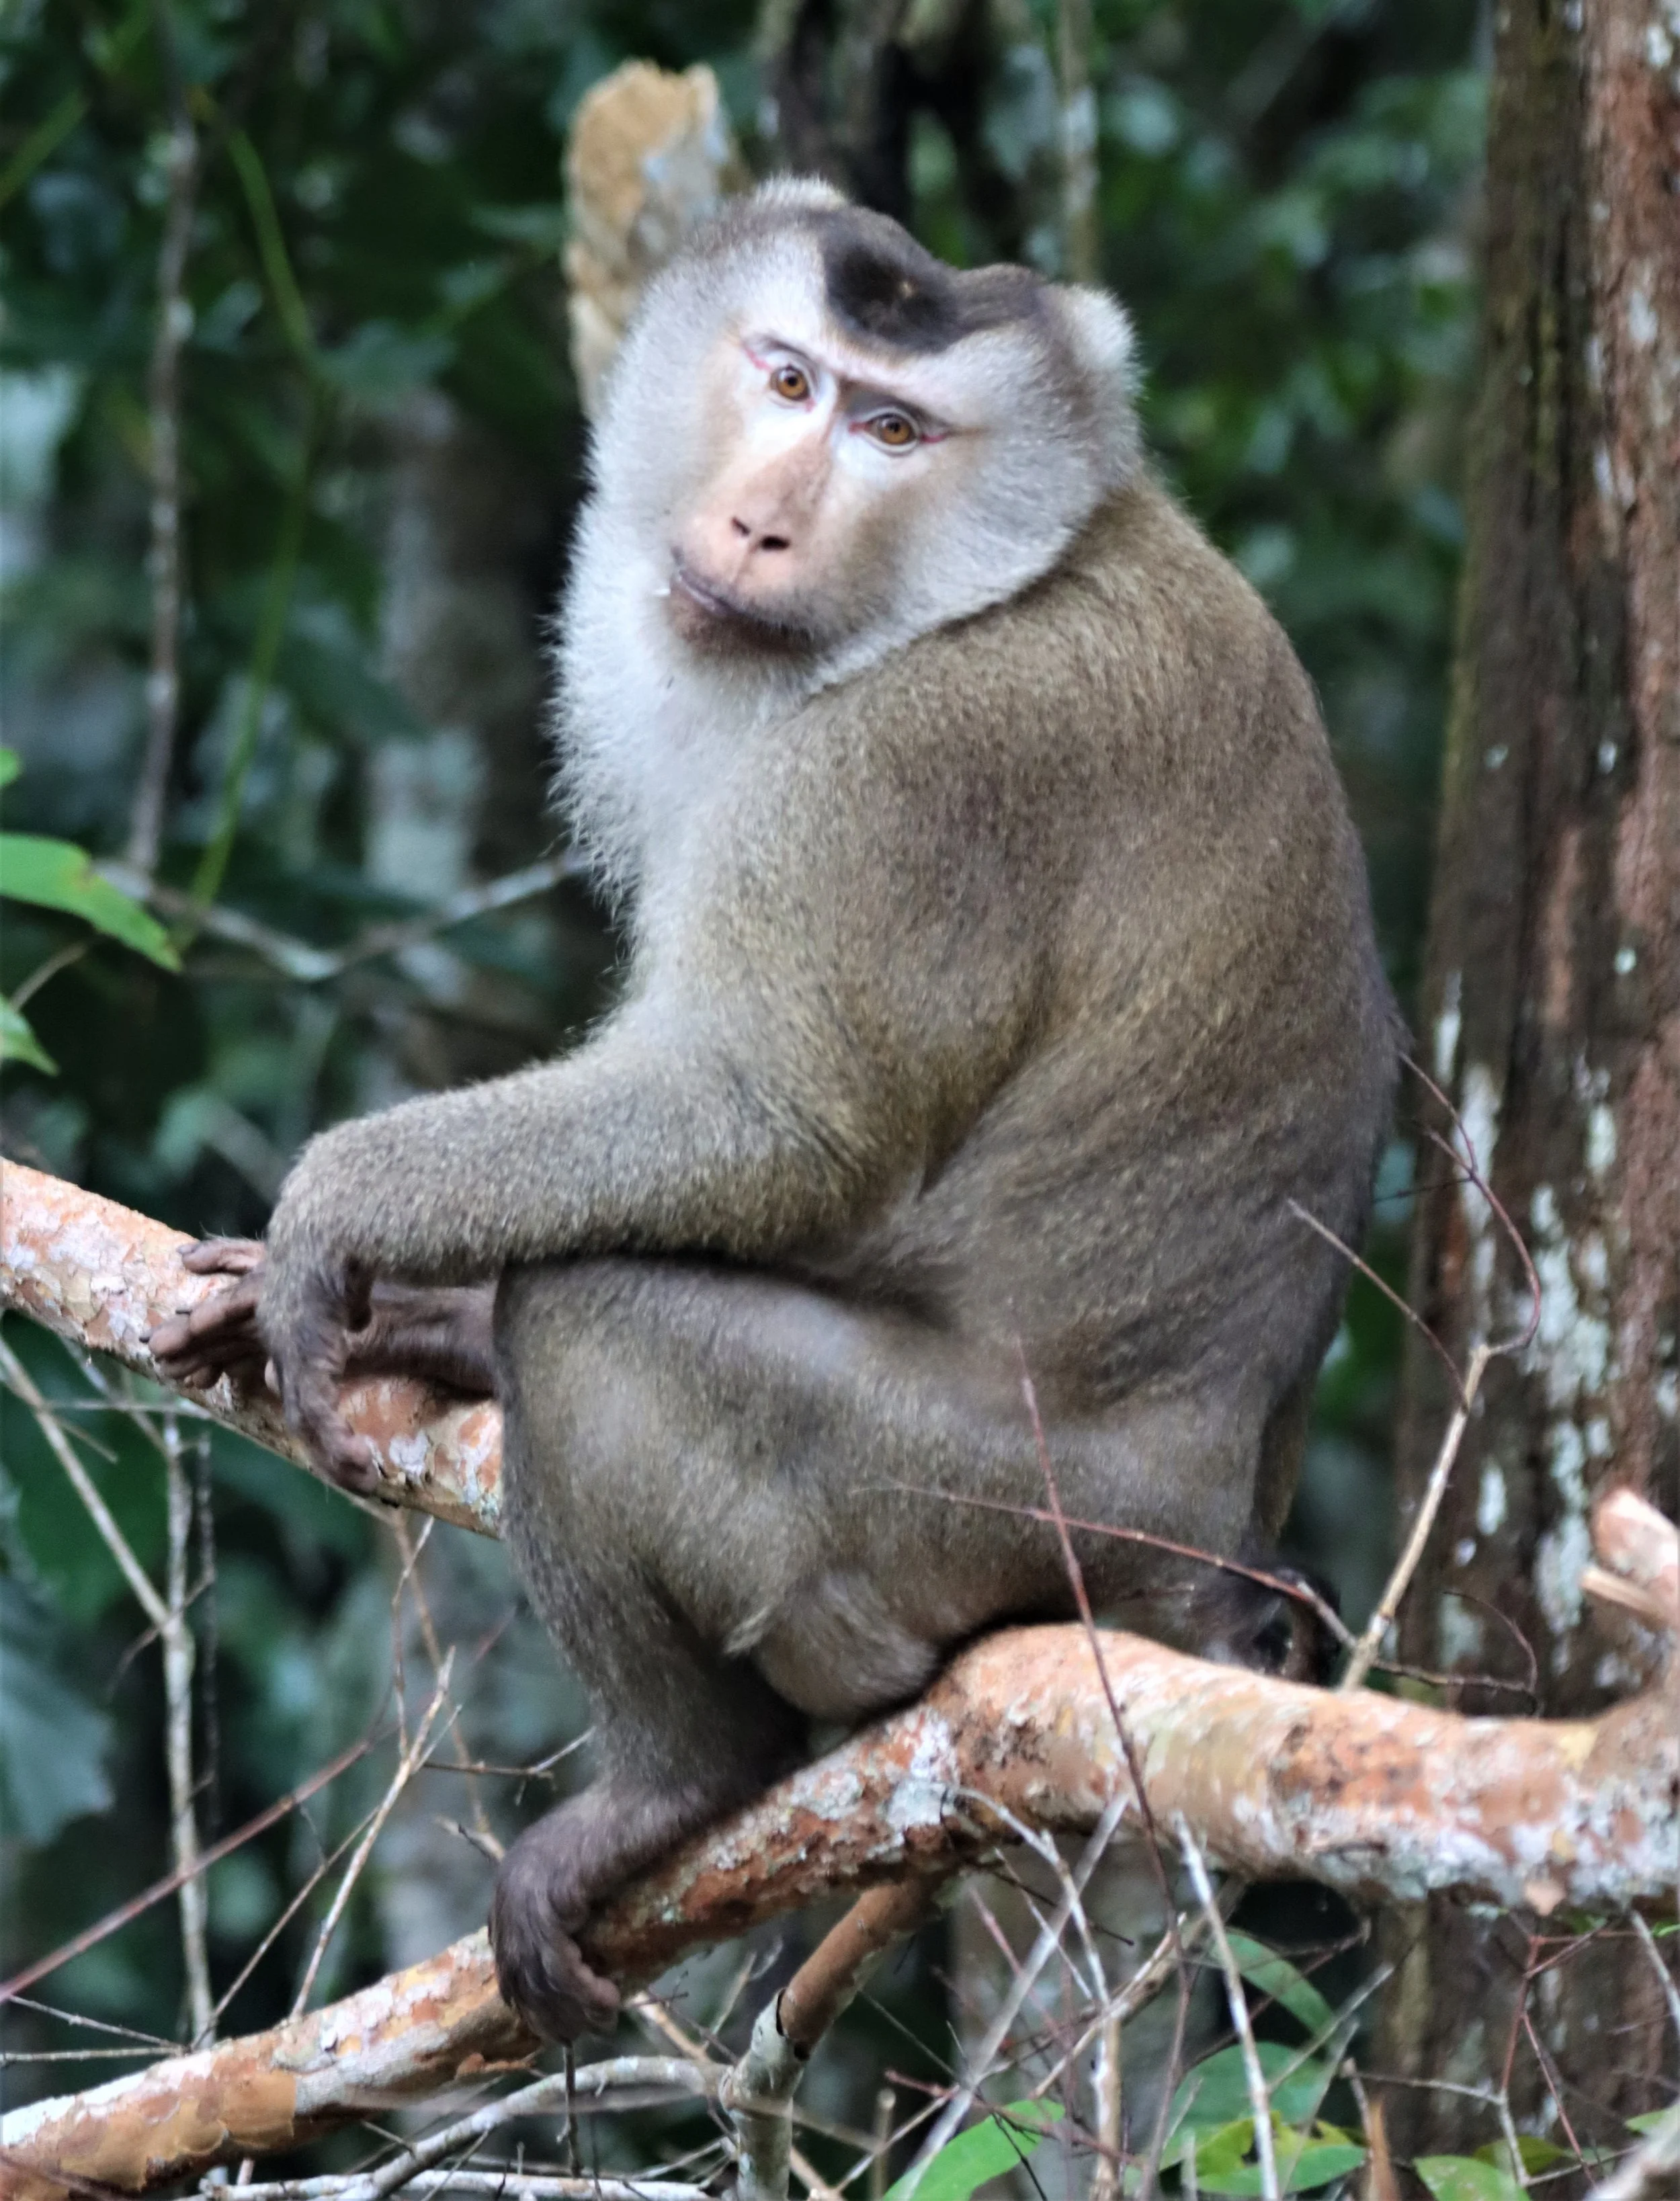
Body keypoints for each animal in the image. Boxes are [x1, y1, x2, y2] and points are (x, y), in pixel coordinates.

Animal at [151, 179, 1397, 2045]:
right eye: (792, 376)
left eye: (894, 431)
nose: (757, 523)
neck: (981, 578)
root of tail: (1207, 1551)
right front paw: (435, 1316)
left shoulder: (910, 768)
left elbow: (770, 1117)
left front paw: (353, 1206)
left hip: (959, 1515)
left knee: (604, 1317)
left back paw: (682, 1779)